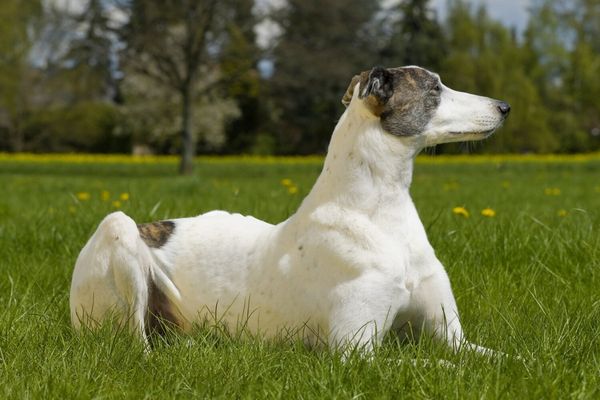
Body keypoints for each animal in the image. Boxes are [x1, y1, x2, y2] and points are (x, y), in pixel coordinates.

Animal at [71, 66, 510, 356]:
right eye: (435, 88)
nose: (504, 106)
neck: (375, 214)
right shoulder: (355, 351)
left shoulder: (453, 338)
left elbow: (506, 360)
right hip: (118, 228)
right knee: (137, 343)